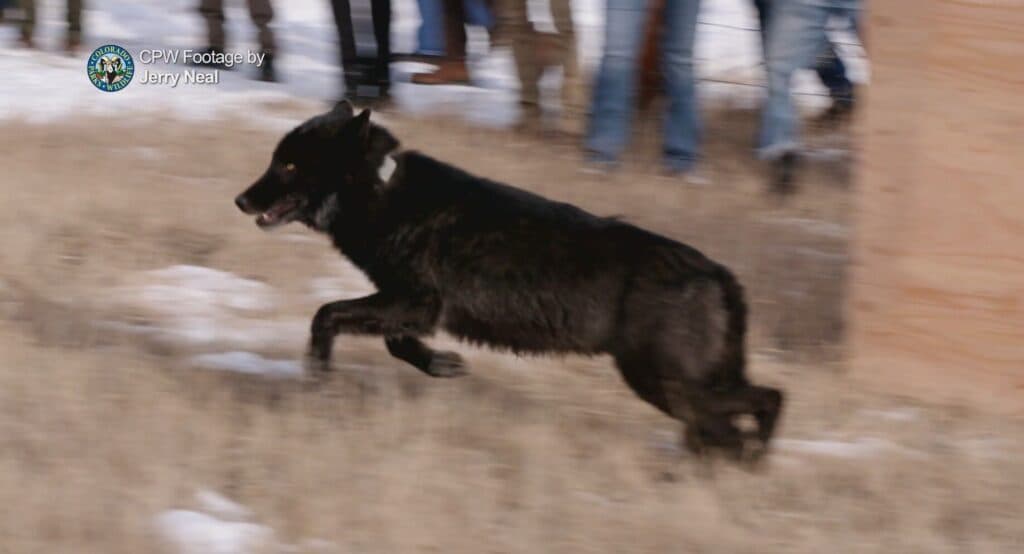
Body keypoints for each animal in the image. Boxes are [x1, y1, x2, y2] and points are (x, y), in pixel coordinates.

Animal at [234, 102, 783, 459]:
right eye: (275, 159)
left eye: (288, 164)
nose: (240, 200)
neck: (382, 190)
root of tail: (718, 273)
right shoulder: (413, 308)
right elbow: (397, 344)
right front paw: (442, 366)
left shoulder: (414, 301)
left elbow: (325, 316)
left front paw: (317, 381)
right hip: (675, 385)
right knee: (750, 411)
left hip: (663, 382)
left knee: (759, 408)